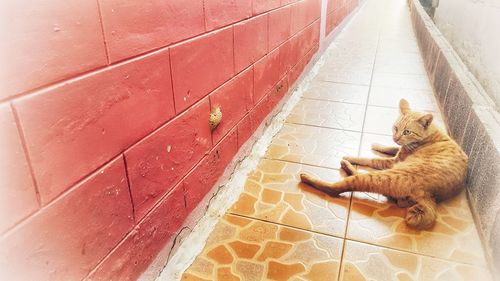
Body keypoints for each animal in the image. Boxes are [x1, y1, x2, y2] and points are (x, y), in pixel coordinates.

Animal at [300, 98, 468, 228]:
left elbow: (371, 159)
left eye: (407, 132)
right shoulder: (397, 153)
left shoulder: (393, 161)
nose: (396, 137)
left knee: (338, 188)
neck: (430, 135)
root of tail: (431, 196)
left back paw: (309, 177)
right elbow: (391, 147)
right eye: (395, 128)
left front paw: (354, 156)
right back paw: (346, 166)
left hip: (384, 176)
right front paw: (378, 145)